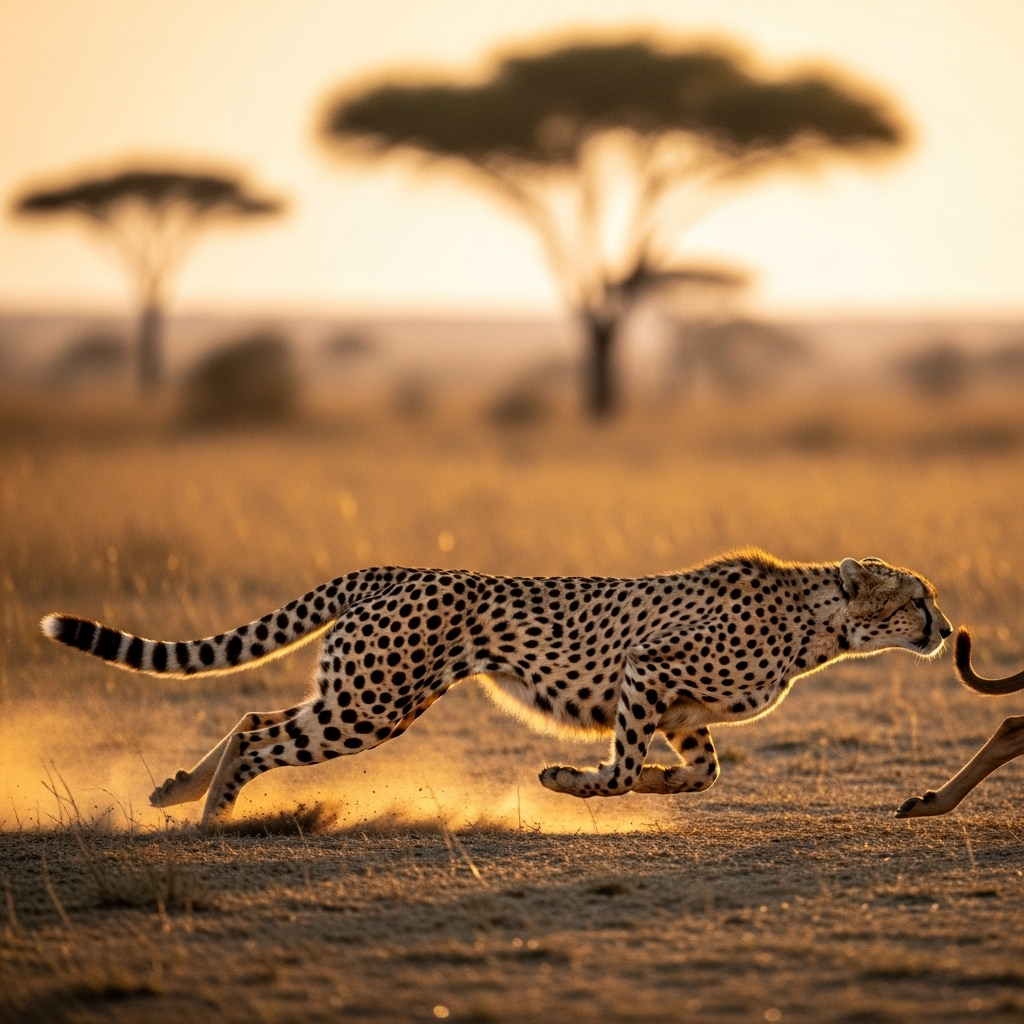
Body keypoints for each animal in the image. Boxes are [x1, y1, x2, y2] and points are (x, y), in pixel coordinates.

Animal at [41, 549, 951, 828]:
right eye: (917, 598)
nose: (945, 629)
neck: (818, 622)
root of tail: (400, 569)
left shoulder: (683, 710)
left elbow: (702, 770)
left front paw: (657, 782)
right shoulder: (647, 671)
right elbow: (621, 766)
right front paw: (566, 780)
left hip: (361, 695)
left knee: (251, 714)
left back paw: (173, 791)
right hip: (370, 705)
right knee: (263, 736)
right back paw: (209, 818)